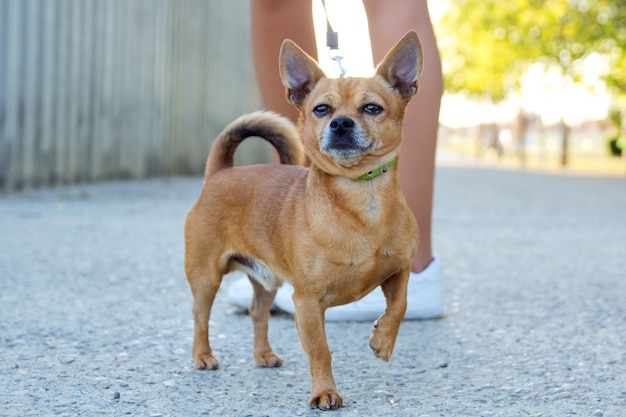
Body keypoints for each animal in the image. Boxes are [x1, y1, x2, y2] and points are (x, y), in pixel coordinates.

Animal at [183, 30, 422, 410]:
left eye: (372, 108)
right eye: (321, 109)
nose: (341, 123)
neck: (362, 196)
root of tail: (220, 172)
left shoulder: (399, 270)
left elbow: (400, 304)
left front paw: (383, 341)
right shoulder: (307, 302)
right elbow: (321, 350)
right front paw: (325, 392)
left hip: (265, 280)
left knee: (257, 312)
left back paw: (263, 354)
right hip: (206, 276)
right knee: (199, 314)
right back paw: (203, 355)